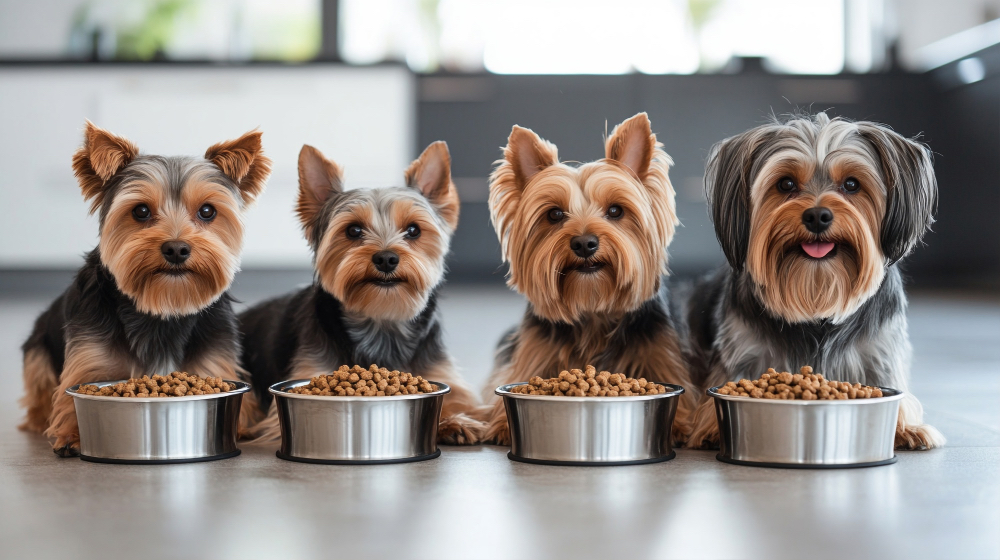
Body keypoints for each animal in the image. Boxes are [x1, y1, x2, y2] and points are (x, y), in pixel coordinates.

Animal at [20, 121, 270, 456]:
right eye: (140, 211)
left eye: (207, 211)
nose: (176, 249)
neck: (162, 305)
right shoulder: (90, 358)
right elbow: (71, 396)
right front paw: (73, 435)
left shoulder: (216, 361)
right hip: (36, 352)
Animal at [235, 142, 484, 444]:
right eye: (353, 230)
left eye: (414, 230)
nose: (386, 258)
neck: (381, 317)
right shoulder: (309, 372)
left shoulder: (442, 374)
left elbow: (464, 400)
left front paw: (457, 421)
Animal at [480, 112, 692, 446]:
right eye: (554, 214)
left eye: (616, 210)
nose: (583, 243)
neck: (592, 307)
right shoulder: (532, 359)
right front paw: (502, 424)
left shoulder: (663, 356)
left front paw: (680, 425)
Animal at [684, 112, 948, 450]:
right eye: (786, 183)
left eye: (851, 184)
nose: (817, 216)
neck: (817, 295)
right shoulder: (743, 352)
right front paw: (712, 428)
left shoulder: (879, 355)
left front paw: (908, 426)